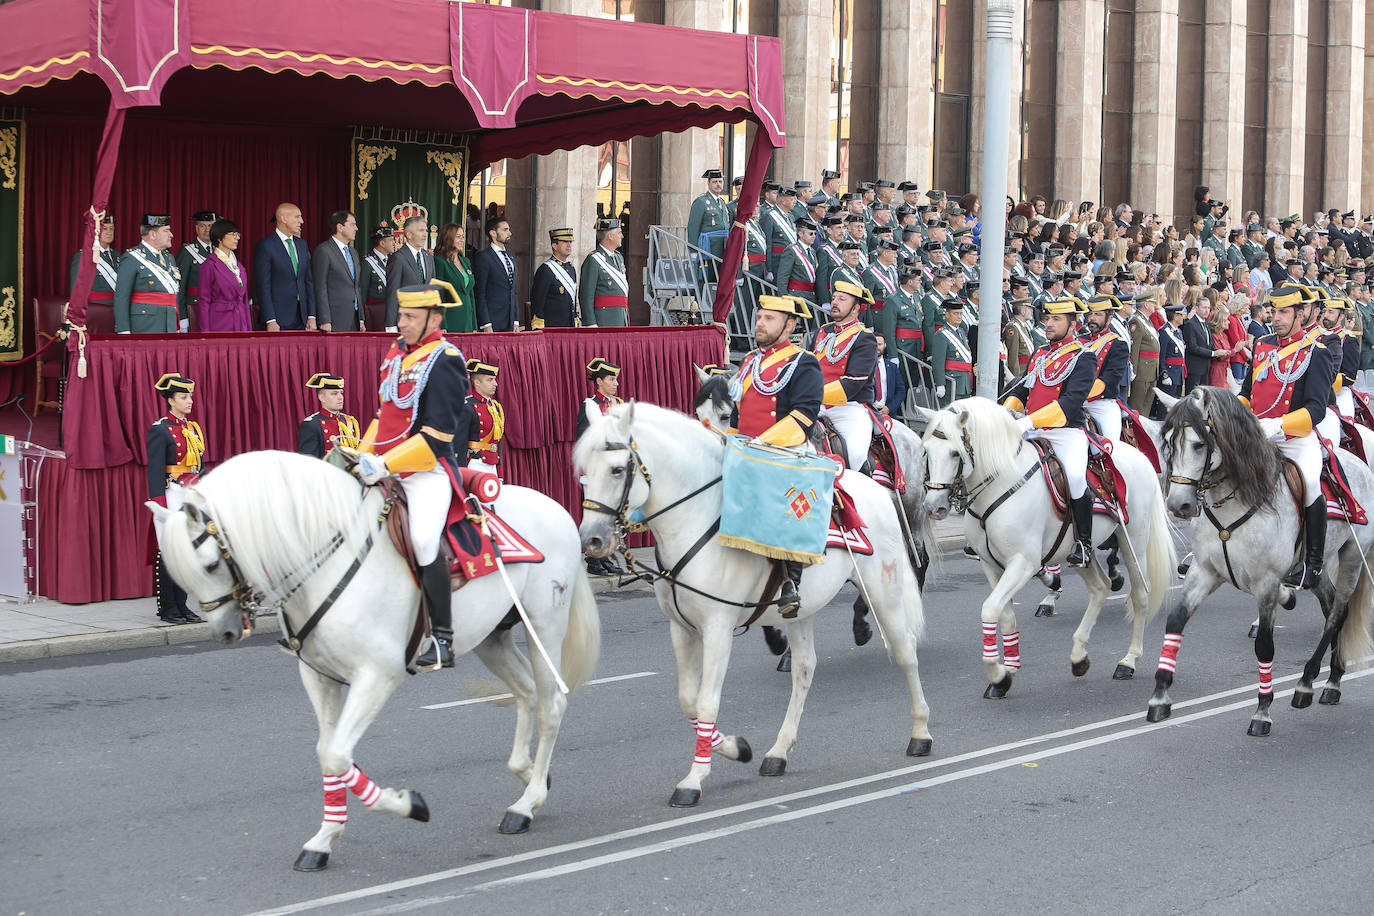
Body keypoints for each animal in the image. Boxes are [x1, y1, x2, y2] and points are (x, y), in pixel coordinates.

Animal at [151, 455, 601, 873]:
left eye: (210, 564)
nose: (225, 632)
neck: (327, 556)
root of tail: (557, 507)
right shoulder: (318, 676)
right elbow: (328, 752)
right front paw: (323, 840)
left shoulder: (377, 677)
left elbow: (337, 755)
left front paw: (409, 805)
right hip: (493, 637)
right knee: (527, 692)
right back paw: (530, 777)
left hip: (544, 625)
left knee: (551, 704)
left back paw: (527, 804)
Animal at [568, 403, 934, 807]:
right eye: (583, 471)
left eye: (617, 469)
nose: (591, 541)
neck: (697, 519)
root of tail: (875, 488)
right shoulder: (681, 629)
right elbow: (688, 700)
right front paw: (735, 748)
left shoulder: (717, 628)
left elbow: (707, 702)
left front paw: (694, 780)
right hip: (804, 608)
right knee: (804, 669)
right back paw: (778, 752)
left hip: (883, 589)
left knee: (905, 651)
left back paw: (920, 733)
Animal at [917, 398, 1176, 694]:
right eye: (926, 451)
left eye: (954, 453)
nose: (933, 507)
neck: (1002, 482)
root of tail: (1138, 455)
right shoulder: (992, 566)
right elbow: (1004, 615)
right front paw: (1008, 671)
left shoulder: (1022, 563)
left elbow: (990, 609)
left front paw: (998, 674)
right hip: (1078, 552)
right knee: (1100, 588)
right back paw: (1079, 656)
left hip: (1134, 540)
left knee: (1140, 595)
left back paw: (1128, 661)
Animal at [1148, 387, 1374, 736]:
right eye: (1169, 443)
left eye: (1199, 444)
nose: (1178, 505)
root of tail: (1359, 463)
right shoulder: (1205, 571)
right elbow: (1176, 620)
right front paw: (1160, 696)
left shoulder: (1265, 582)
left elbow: (1265, 646)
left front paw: (1262, 711)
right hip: (1319, 567)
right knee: (1330, 604)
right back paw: (1332, 679)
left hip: (1352, 555)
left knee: (1338, 613)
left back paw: (1307, 682)